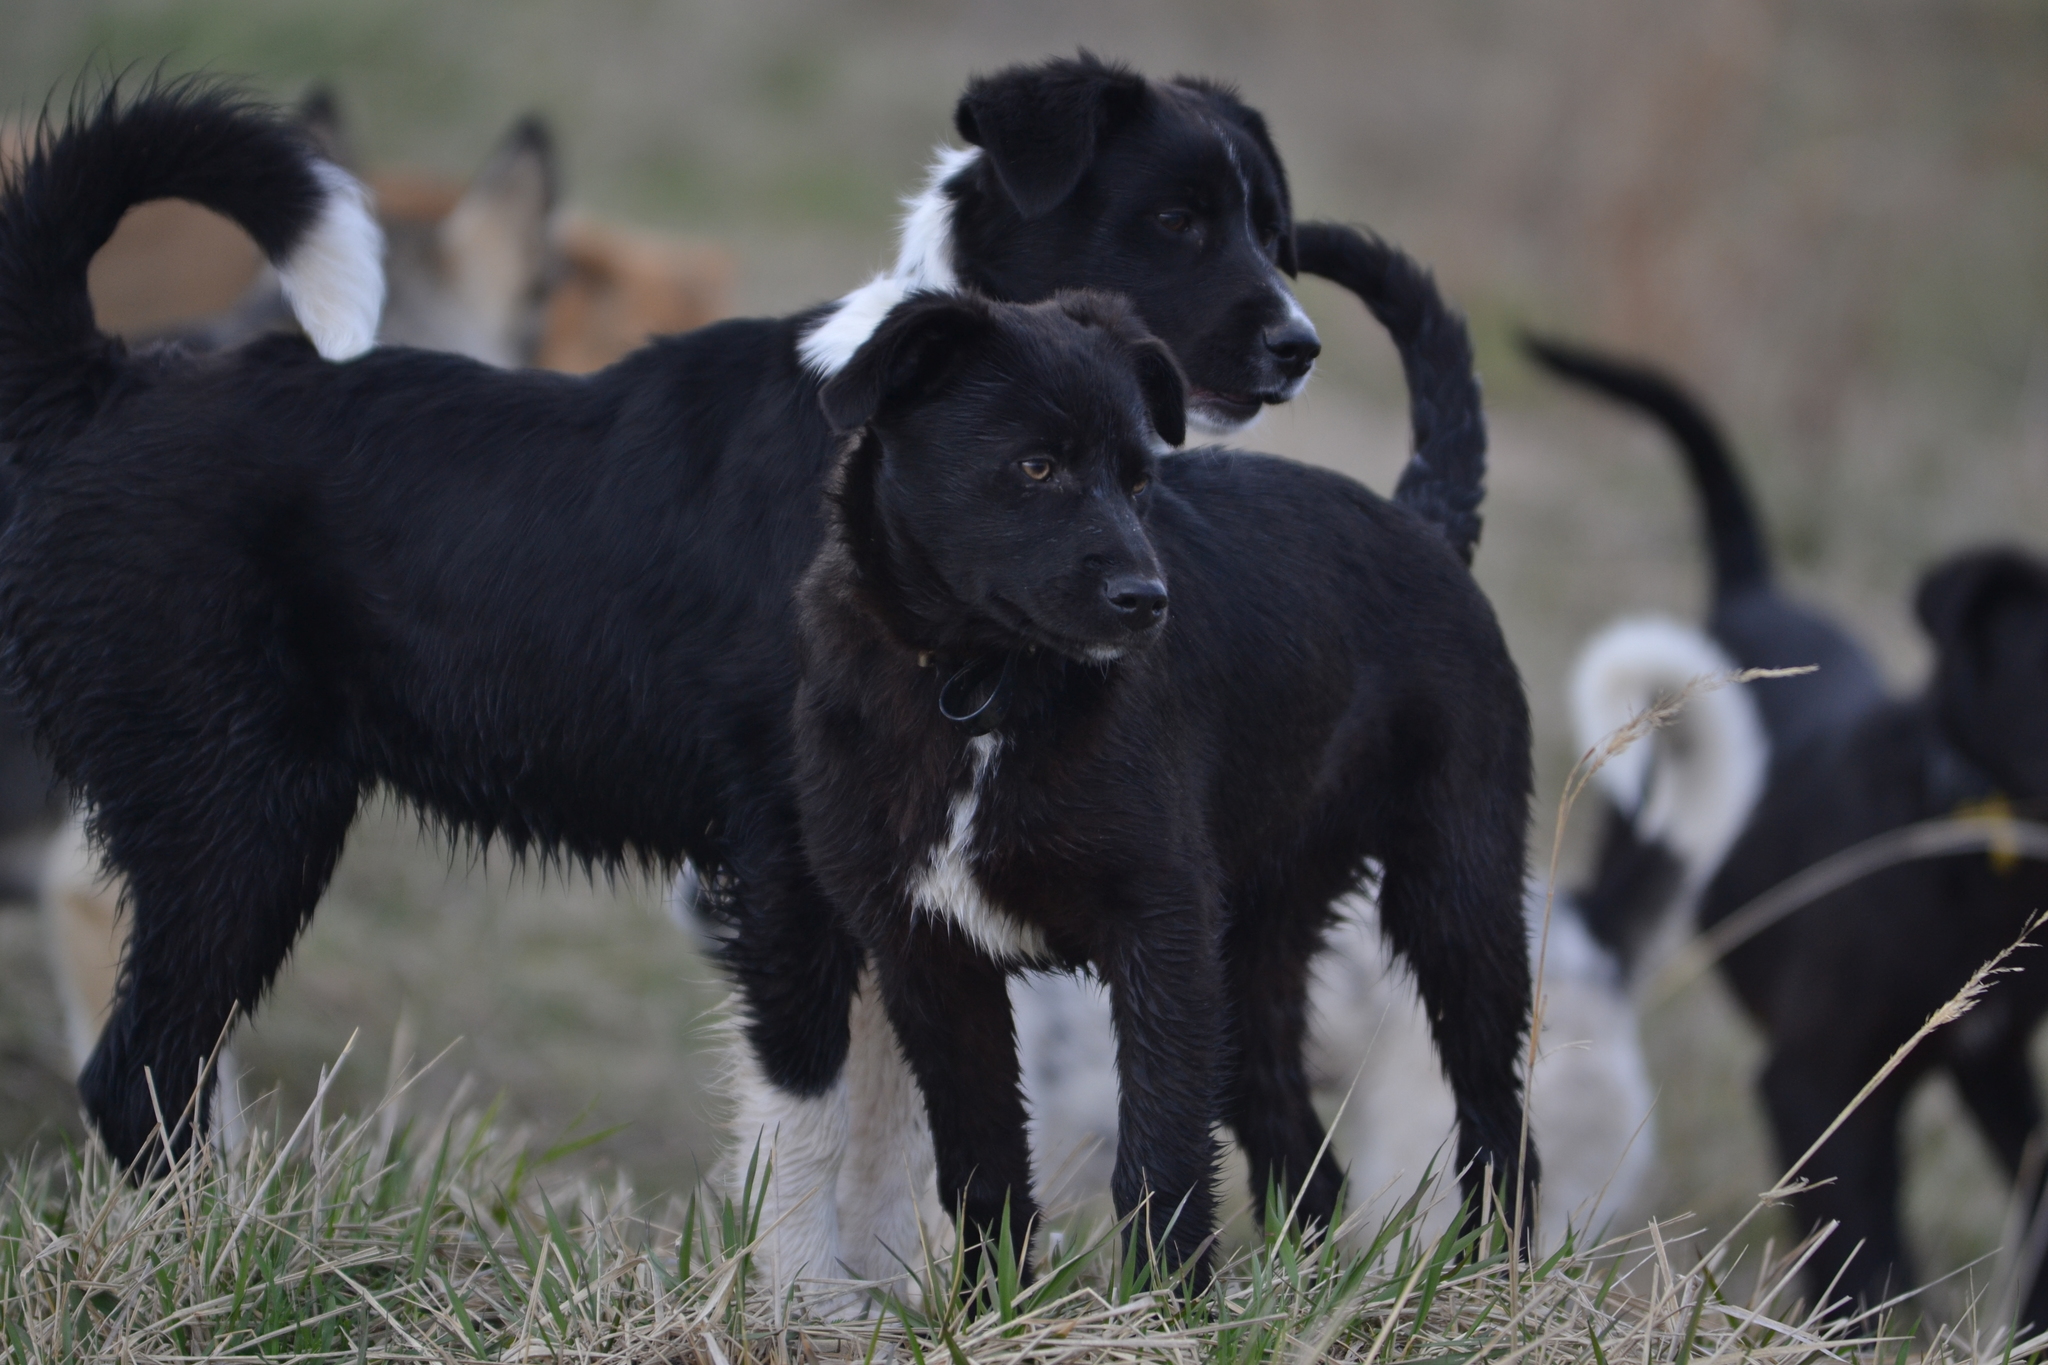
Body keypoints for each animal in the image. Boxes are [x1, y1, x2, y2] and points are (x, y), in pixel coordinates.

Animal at [790, 286, 1531, 1285]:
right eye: (1036, 465)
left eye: (1141, 483)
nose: (1147, 600)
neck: (981, 688)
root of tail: (1422, 523)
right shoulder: (928, 955)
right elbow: (982, 1162)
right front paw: (995, 1303)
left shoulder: (1161, 929)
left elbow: (1160, 1152)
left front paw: (1166, 1298)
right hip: (1257, 949)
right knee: (1303, 1148)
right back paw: (1302, 1294)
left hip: (1458, 899)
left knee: (1498, 1119)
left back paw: (1493, 1277)